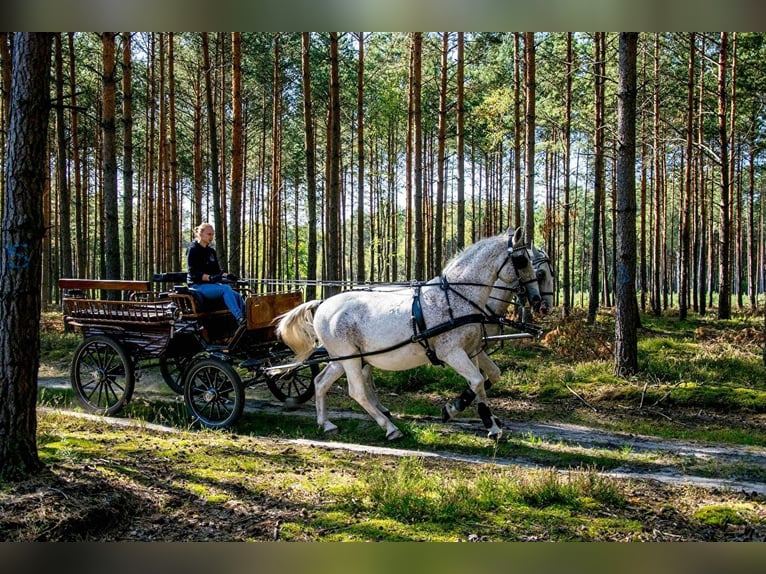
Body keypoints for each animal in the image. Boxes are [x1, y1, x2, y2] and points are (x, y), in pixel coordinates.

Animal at [280, 228, 544, 440]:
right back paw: (390, 428)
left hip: (341, 359)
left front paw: (490, 425)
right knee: (357, 391)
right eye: (522, 260)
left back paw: (325, 423)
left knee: (320, 382)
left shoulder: (472, 350)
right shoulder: (451, 352)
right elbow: (478, 381)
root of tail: (323, 303)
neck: (458, 297)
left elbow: (480, 385)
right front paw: (455, 409)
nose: (537, 300)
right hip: (349, 358)